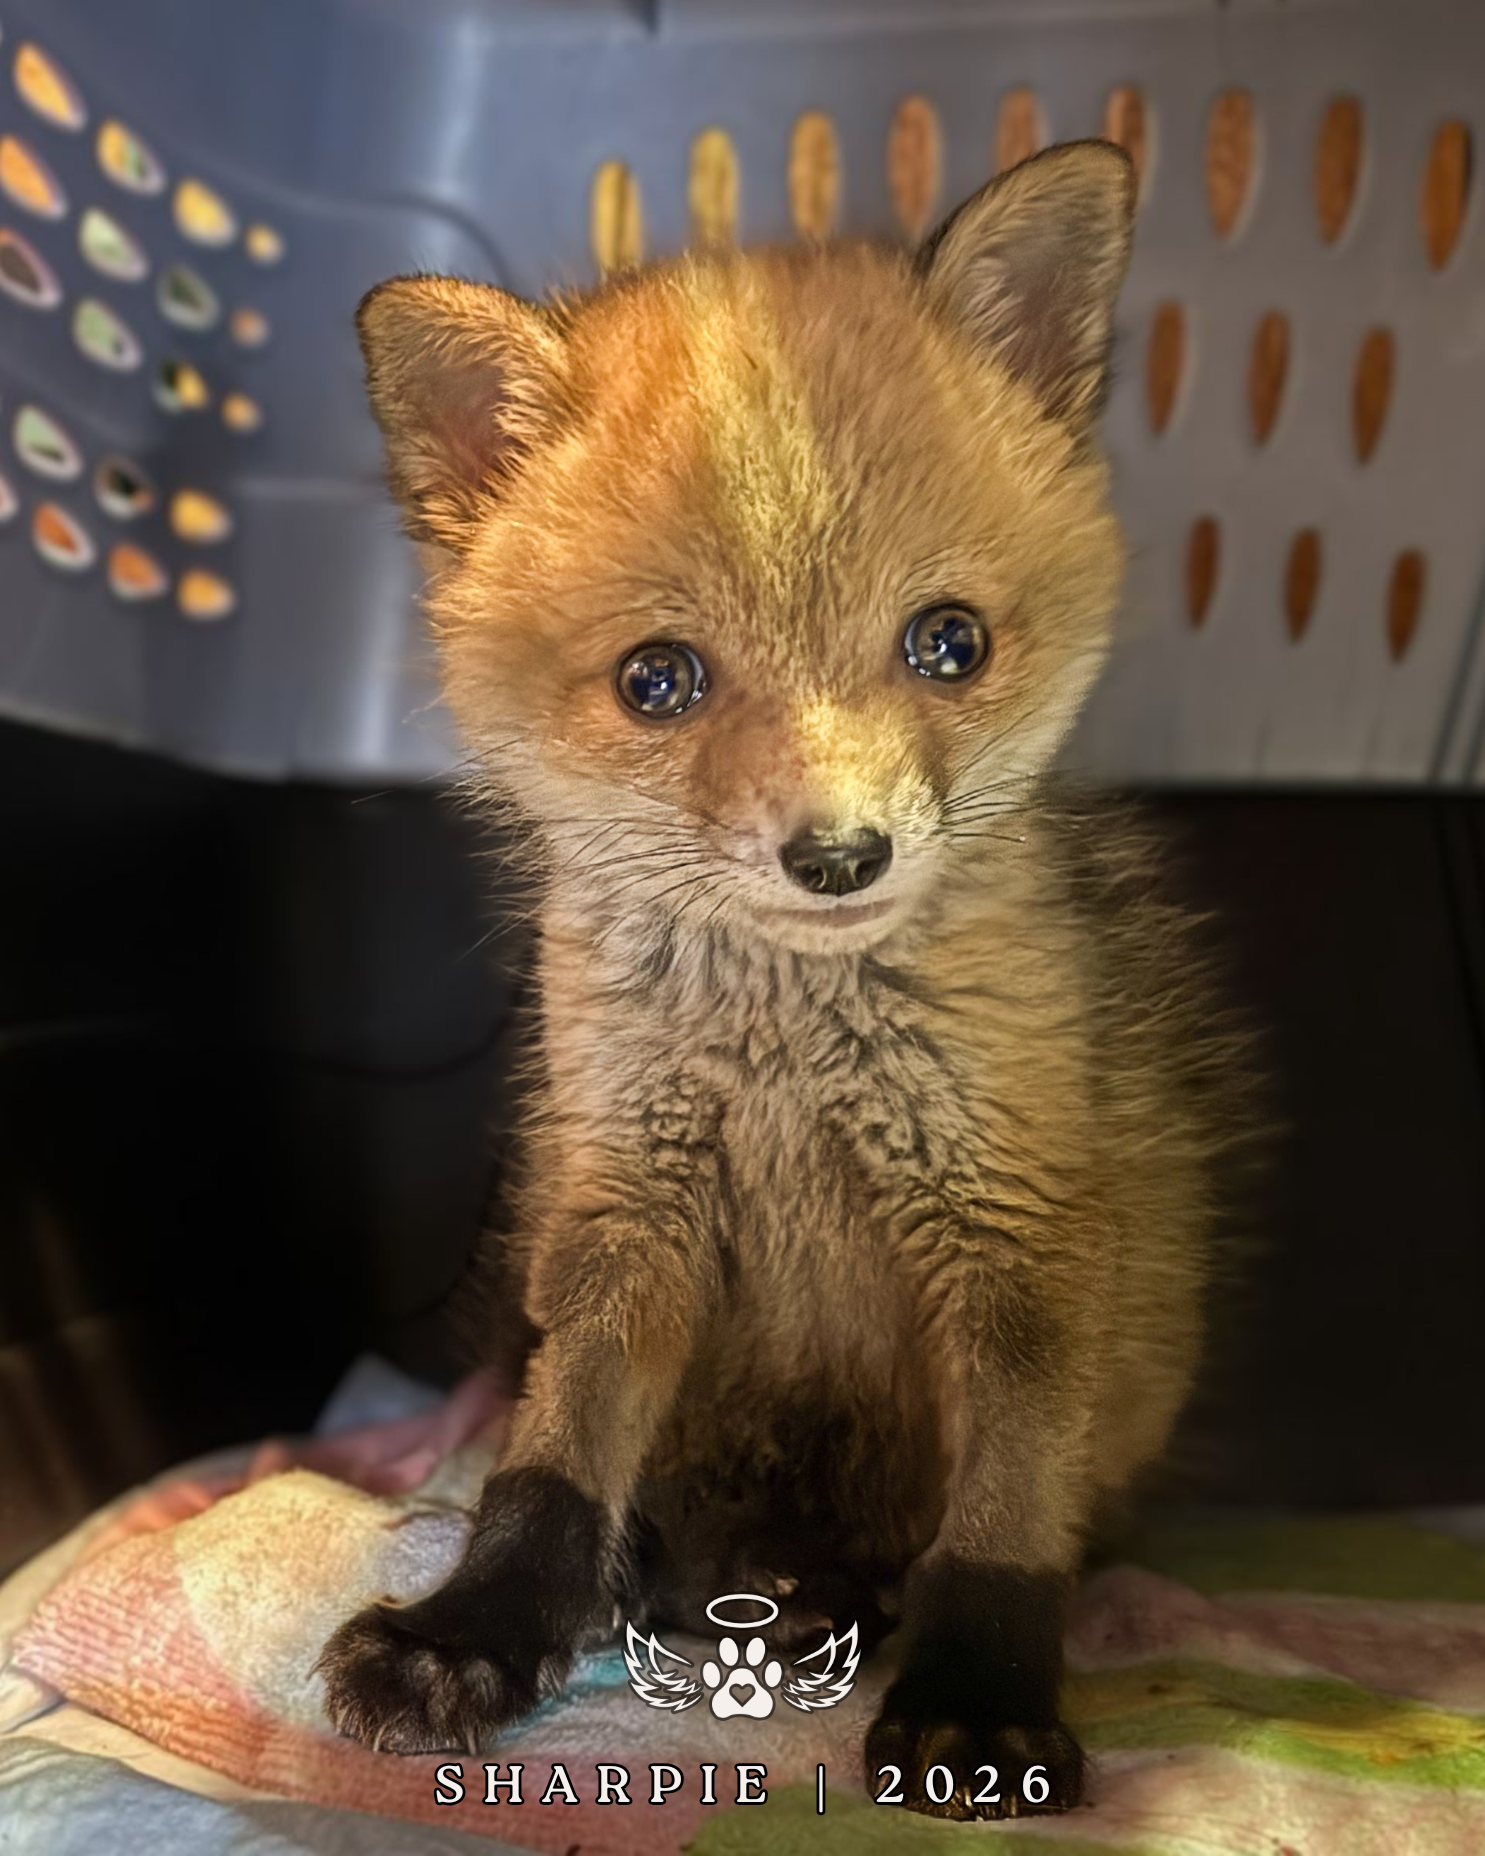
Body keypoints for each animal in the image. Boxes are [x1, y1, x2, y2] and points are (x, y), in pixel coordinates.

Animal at [315, 139, 1248, 1820]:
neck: (792, 1057)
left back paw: (841, 1605)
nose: (840, 856)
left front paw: (977, 1706)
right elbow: (549, 1463)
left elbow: (1003, 1523)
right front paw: (477, 1630)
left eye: (948, 643)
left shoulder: (1015, 1232)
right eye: (658, 680)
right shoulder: (624, 1205)